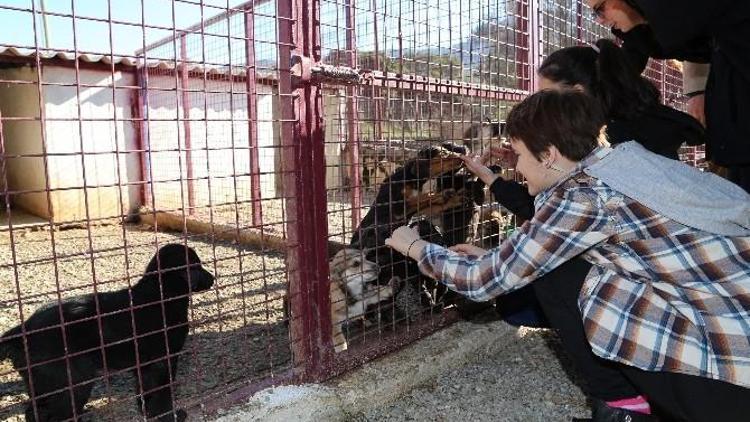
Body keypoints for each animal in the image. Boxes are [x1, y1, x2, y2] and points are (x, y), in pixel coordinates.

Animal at [0, 244, 214, 422]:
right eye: (197, 266)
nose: (213, 278)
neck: (161, 296)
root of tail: (23, 328)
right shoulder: (162, 361)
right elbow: (163, 393)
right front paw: (169, 416)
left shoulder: (144, 367)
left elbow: (146, 393)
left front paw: (149, 414)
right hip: (73, 379)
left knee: (34, 412)